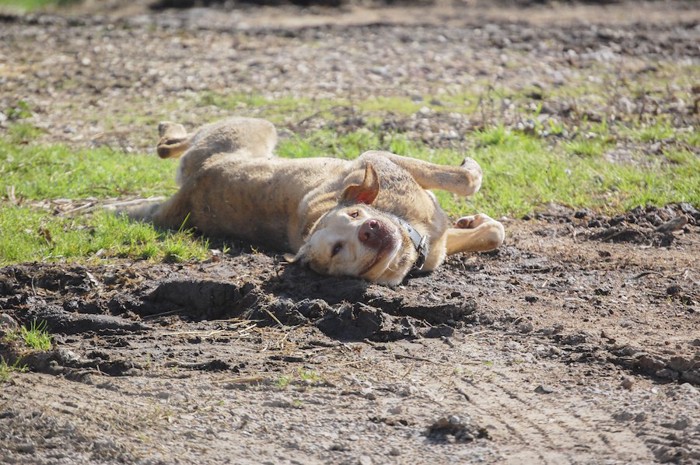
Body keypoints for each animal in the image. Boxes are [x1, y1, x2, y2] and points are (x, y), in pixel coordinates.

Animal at [131, 116, 504, 284]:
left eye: (355, 213)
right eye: (337, 249)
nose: (370, 229)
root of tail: (190, 192)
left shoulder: (380, 162)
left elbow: (492, 231)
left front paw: (475, 221)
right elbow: (468, 180)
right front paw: (471, 170)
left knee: (167, 148)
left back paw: (168, 130)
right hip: (251, 128)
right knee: (170, 145)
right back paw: (169, 128)